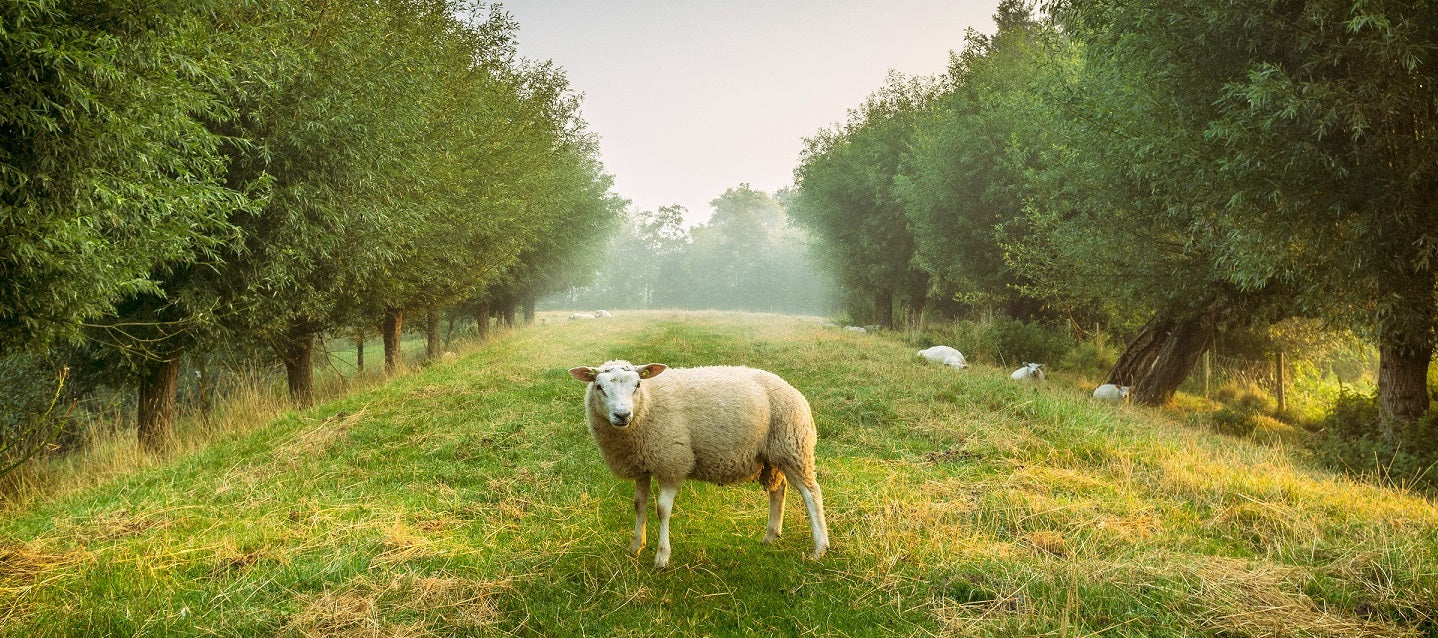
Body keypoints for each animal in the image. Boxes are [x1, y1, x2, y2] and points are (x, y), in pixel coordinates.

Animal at [563, 359, 834, 569]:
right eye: (599, 387)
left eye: (637, 385)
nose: (622, 415)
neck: (647, 405)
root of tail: (793, 390)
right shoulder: (642, 463)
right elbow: (639, 505)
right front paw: (635, 545)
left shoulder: (671, 462)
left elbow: (662, 510)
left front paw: (662, 557)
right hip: (771, 455)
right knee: (779, 490)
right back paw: (770, 536)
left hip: (793, 446)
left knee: (812, 493)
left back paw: (819, 548)